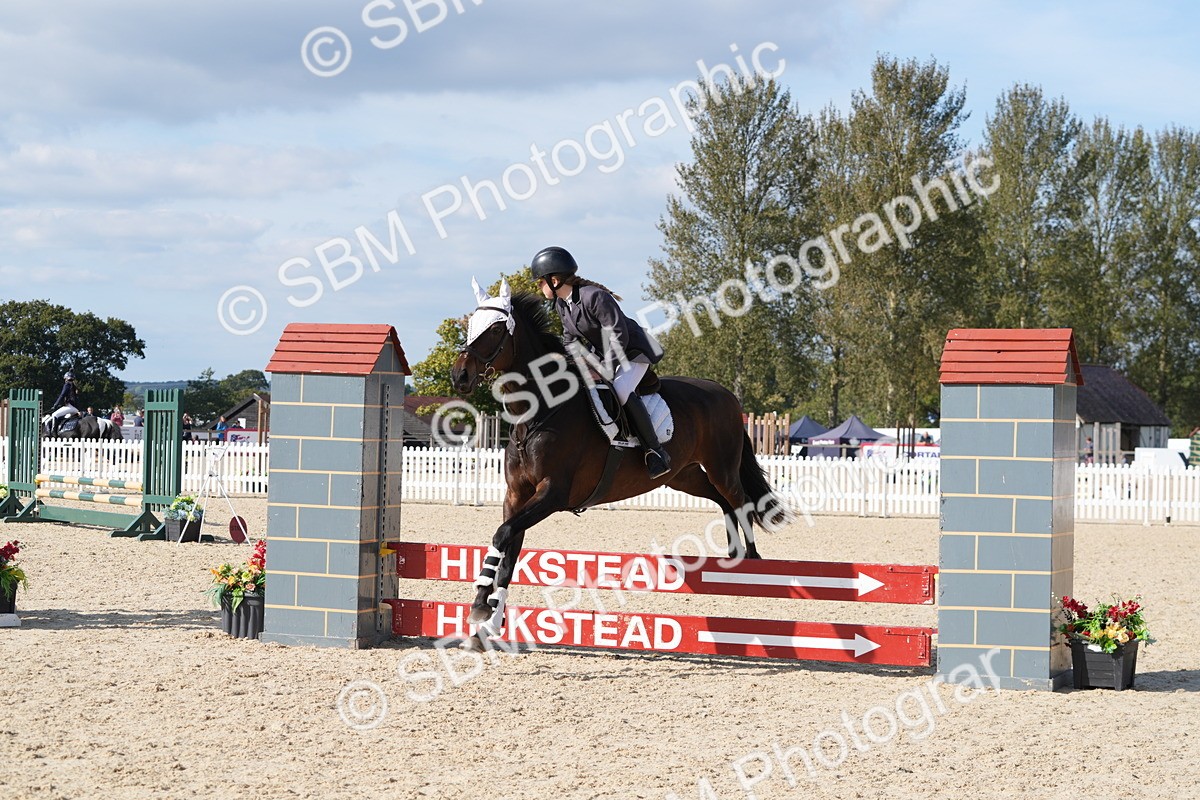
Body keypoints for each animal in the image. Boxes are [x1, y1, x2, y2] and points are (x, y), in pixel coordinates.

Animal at [449, 279, 791, 641]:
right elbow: (508, 545)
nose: (459, 376)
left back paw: (751, 560)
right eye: (471, 326)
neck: (538, 412)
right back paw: (733, 555)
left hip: (721, 466)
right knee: (722, 500)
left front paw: (485, 606)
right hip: (683, 476)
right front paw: (487, 608)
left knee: (740, 499)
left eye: (495, 329)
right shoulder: (517, 495)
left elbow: (503, 535)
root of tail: (727, 394)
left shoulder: (553, 493)